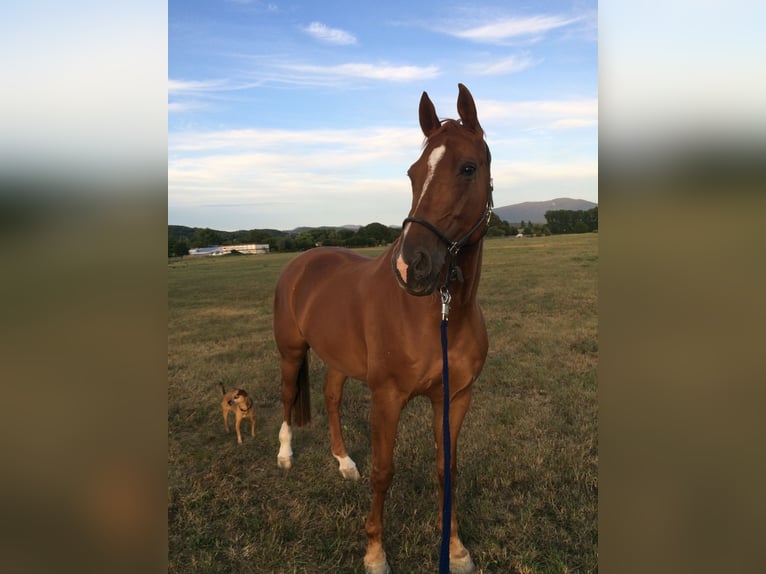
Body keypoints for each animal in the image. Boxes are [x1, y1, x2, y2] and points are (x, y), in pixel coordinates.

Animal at [273, 83, 492, 574]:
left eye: (468, 168)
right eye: (413, 173)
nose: (411, 266)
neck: (437, 315)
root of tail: (302, 260)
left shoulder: (455, 397)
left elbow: (446, 469)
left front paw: (455, 549)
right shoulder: (387, 397)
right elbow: (383, 471)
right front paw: (375, 552)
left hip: (338, 358)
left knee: (332, 398)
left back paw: (343, 462)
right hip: (291, 352)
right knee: (288, 395)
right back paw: (284, 453)